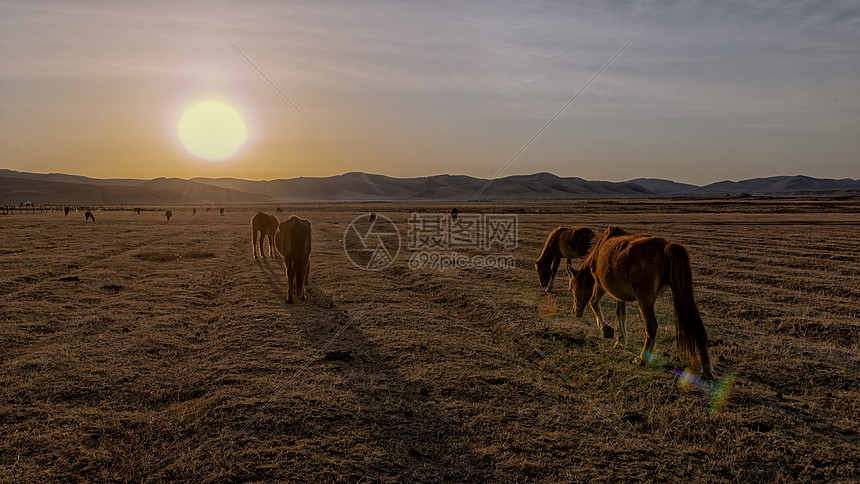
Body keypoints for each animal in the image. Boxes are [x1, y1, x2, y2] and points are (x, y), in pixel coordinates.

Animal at [568, 225, 716, 380]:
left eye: (571, 287)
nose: (575, 311)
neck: (598, 252)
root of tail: (666, 246)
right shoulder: (620, 294)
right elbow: (621, 314)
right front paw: (621, 341)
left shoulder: (599, 284)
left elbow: (593, 302)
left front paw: (606, 329)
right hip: (682, 293)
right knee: (696, 325)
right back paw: (707, 369)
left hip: (644, 299)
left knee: (651, 326)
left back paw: (642, 359)